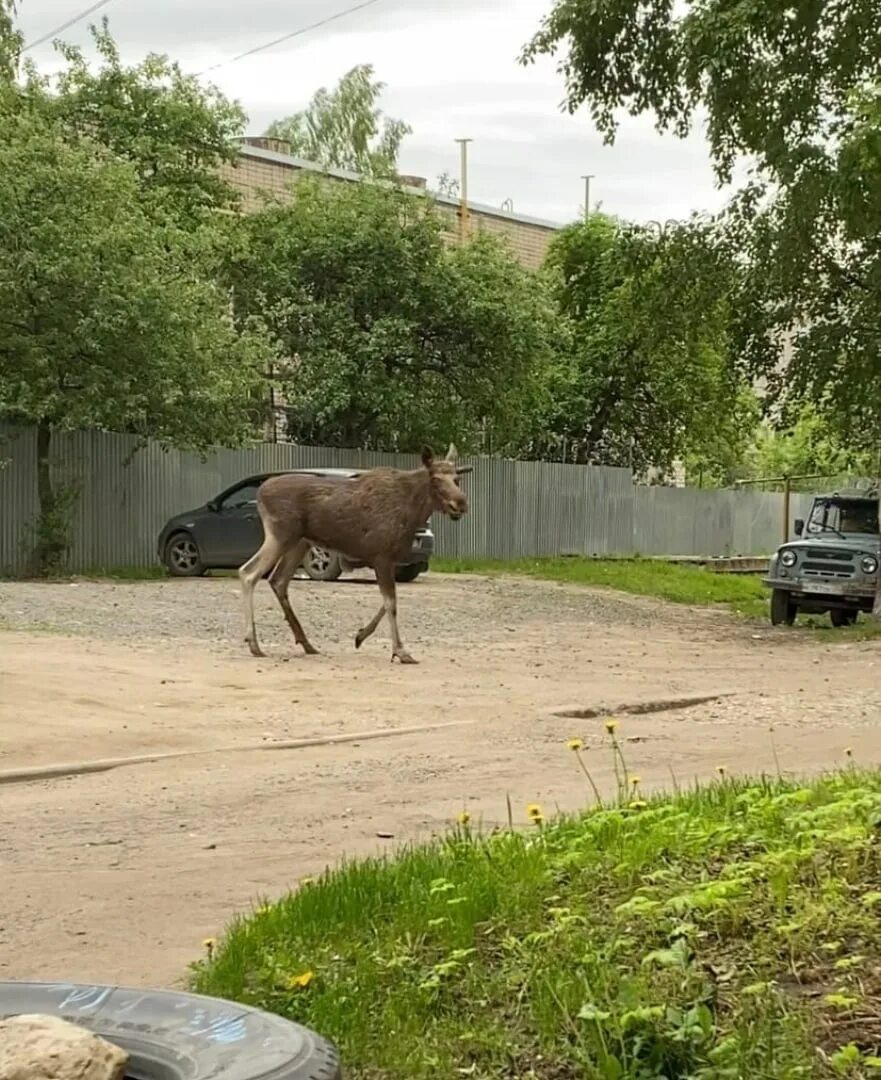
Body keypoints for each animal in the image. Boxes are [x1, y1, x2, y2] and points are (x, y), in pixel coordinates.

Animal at [237, 442, 470, 660]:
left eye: (456, 479)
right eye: (436, 479)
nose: (460, 503)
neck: (412, 515)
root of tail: (260, 494)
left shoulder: (389, 559)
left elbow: (388, 601)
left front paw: (360, 636)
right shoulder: (382, 556)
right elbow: (391, 603)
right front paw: (400, 651)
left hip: (298, 543)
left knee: (278, 580)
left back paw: (306, 643)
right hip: (280, 536)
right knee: (248, 572)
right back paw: (254, 643)